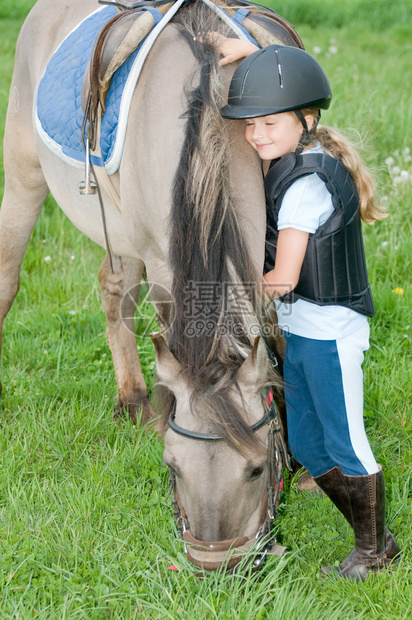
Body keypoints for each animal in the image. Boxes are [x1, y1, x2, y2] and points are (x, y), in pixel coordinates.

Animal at [0, 0, 302, 572]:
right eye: (172, 467)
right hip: (24, 179)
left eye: (256, 468)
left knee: (113, 291)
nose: (216, 565)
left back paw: (132, 397)